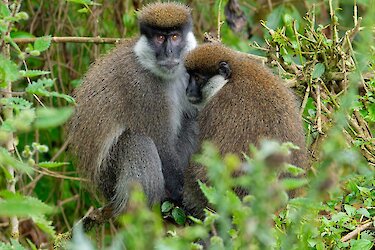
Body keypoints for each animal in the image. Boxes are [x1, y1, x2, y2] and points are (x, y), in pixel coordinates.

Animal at [67, 2, 200, 229]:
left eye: (175, 37)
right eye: (159, 38)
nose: (169, 52)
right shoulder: (143, 89)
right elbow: (161, 145)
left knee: (190, 123)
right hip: (110, 177)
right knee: (137, 142)